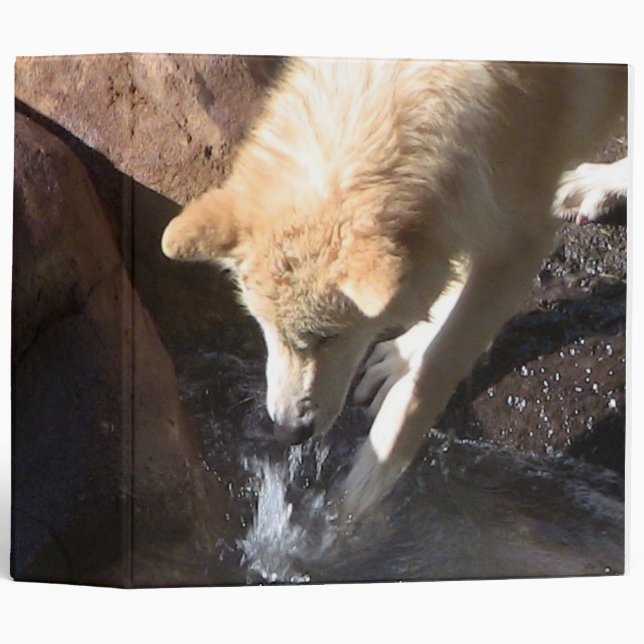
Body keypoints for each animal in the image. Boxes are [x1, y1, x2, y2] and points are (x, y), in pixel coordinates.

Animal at [162, 58, 627, 516]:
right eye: (265, 329)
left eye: (328, 337)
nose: (288, 433)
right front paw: (406, 350)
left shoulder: (521, 232)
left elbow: (433, 372)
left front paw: (362, 491)